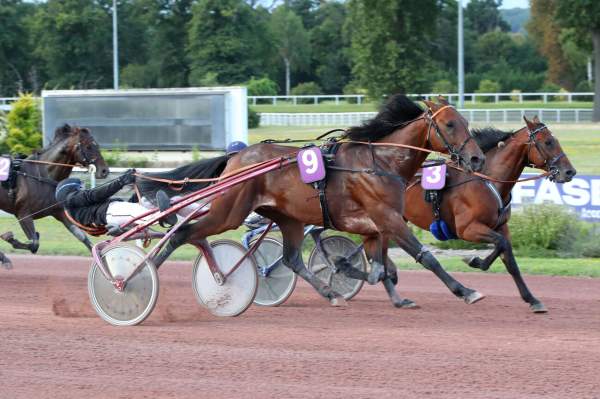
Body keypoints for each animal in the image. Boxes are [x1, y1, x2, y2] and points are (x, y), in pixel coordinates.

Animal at [0, 125, 109, 268]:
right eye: (88, 146)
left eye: (97, 145)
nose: (104, 171)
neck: (43, 175)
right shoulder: (23, 214)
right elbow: (34, 244)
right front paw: (9, 238)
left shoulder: (59, 212)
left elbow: (83, 238)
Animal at [150, 95, 488, 308]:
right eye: (449, 125)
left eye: (464, 120)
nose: (477, 158)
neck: (380, 162)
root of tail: (236, 157)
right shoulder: (389, 218)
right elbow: (425, 258)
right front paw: (466, 290)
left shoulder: (375, 227)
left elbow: (380, 268)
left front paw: (394, 296)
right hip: (229, 211)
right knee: (182, 233)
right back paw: (145, 273)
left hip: (288, 219)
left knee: (291, 259)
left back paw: (330, 294)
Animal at [404, 117, 576, 314]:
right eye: (548, 142)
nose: (570, 171)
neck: (487, 180)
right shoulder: (467, 229)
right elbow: (501, 244)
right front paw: (474, 260)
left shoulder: (501, 226)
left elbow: (509, 259)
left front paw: (532, 299)